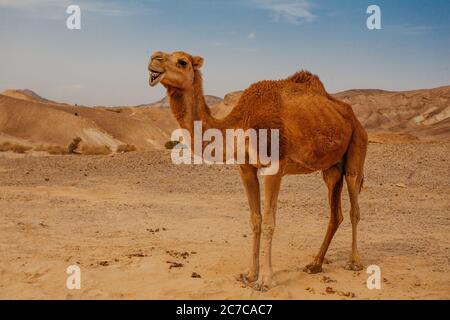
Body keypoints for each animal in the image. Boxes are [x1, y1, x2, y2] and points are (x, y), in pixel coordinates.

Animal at [149, 49, 368, 290]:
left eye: (182, 62)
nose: (154, 59)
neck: (240, 124)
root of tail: (353, 116)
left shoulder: (274, 167)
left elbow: (270, 221)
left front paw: (265, 280)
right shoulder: (245, 167)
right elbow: (255, 219)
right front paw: (249, 274)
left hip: (357, 146)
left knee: (354, 206)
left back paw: (354, 262)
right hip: (331, 169)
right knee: (335, 213)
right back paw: (315, 264)